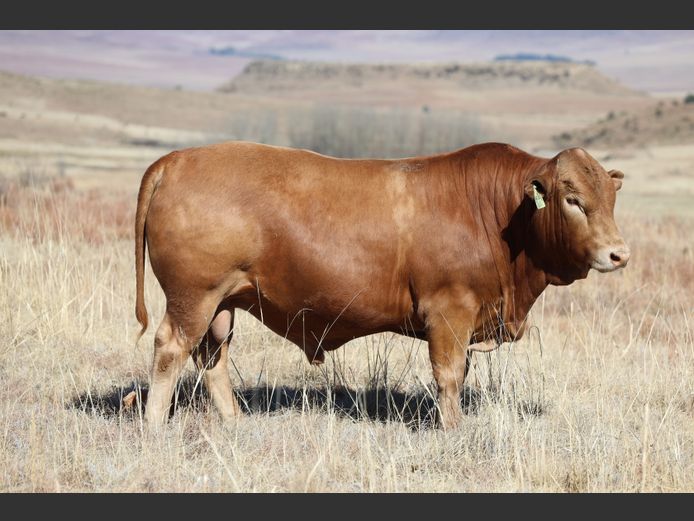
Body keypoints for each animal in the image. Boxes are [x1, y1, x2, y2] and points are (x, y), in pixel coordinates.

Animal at [134, 141, 629, 430]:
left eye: (611, 197)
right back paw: (155, 426)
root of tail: (176, 160)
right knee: (171, 350)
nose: (618, 254)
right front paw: (453, 431)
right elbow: (449, 377)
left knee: (211, 356)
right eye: (572, 200)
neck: (497, 212)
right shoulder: (449, 313)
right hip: (193, 297)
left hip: (222, 303)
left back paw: (235, 422)